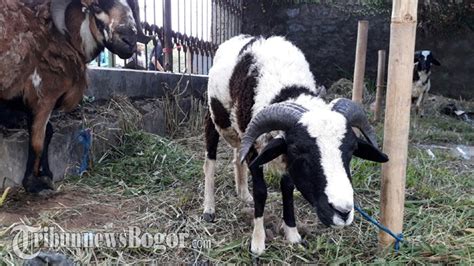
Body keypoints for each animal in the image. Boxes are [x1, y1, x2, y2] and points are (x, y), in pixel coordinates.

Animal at [0, 0, 148, 192]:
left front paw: (46, 174)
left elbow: (47, 132)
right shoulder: (44, 95)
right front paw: (34, 184)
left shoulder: (28, 103)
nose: (129, 40)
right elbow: (37, 141)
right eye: (97, 6)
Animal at [204, 34, 388, 255]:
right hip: (213, 115)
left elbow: (288, 189)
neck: (287, 86)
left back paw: (244, 194)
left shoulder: (279, 155)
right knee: (210, 159)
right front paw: (258, 242)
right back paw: (209, 208)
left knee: (237, 157)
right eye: (299, 150)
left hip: (239, 132)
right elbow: (261, 192)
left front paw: (292, 234)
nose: (343, 213)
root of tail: (238, 37)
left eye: (351, 151)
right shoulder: (257, 147)